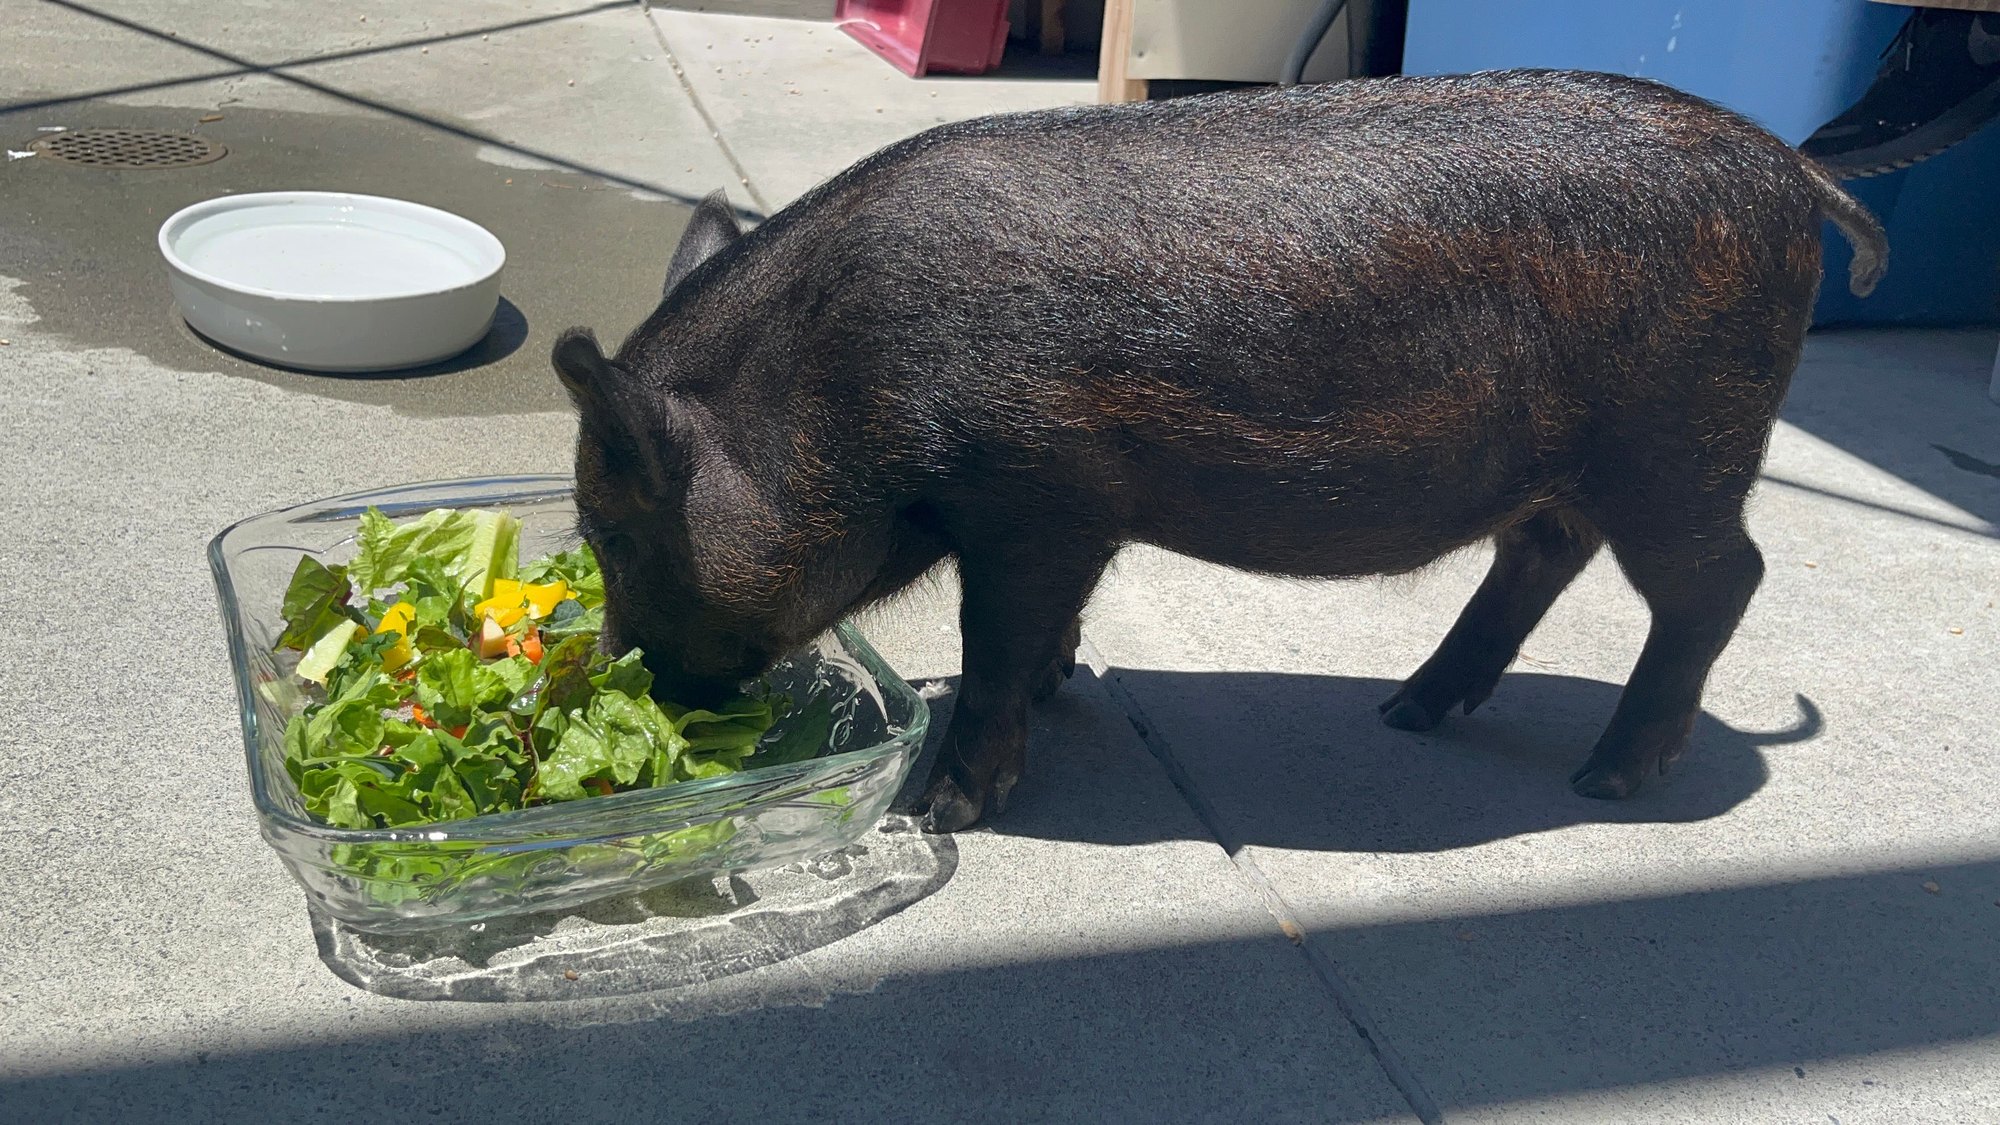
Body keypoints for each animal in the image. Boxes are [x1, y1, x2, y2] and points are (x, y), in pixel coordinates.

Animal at [551, 69, 1886, 833]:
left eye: (613, 531)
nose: (625, 677)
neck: (844, 383)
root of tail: (1794, 172)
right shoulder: (1074, 512)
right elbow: (1041, 630)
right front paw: (1061, 691)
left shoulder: (1030, 494)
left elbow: (993, 640)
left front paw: (943, 814)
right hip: (1584, 459)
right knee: (1541, 554)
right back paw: (1409, 712)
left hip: (1683, 439)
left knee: (1720, 579)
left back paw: (1605, 782)